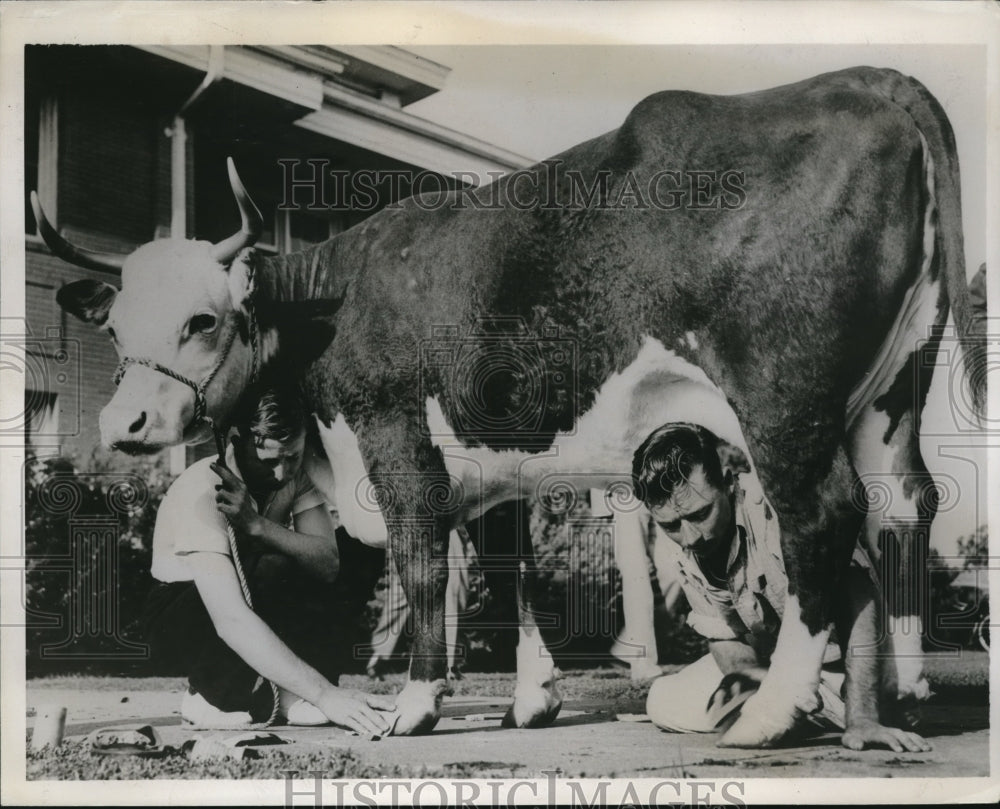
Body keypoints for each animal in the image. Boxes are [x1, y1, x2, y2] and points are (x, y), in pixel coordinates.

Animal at [41, 66, 984, 748]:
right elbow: (512, 568)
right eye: (117, 327)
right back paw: (902, 691)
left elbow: (424, 562)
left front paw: (415, 705)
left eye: (202, 321)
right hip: (893, 388)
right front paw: (532, 701)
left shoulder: (394, 434)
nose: (124, 425)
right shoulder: (492, 458)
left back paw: (770, 714)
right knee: (903, 503)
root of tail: (860, 80)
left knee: (823, 515)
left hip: (783, 400)